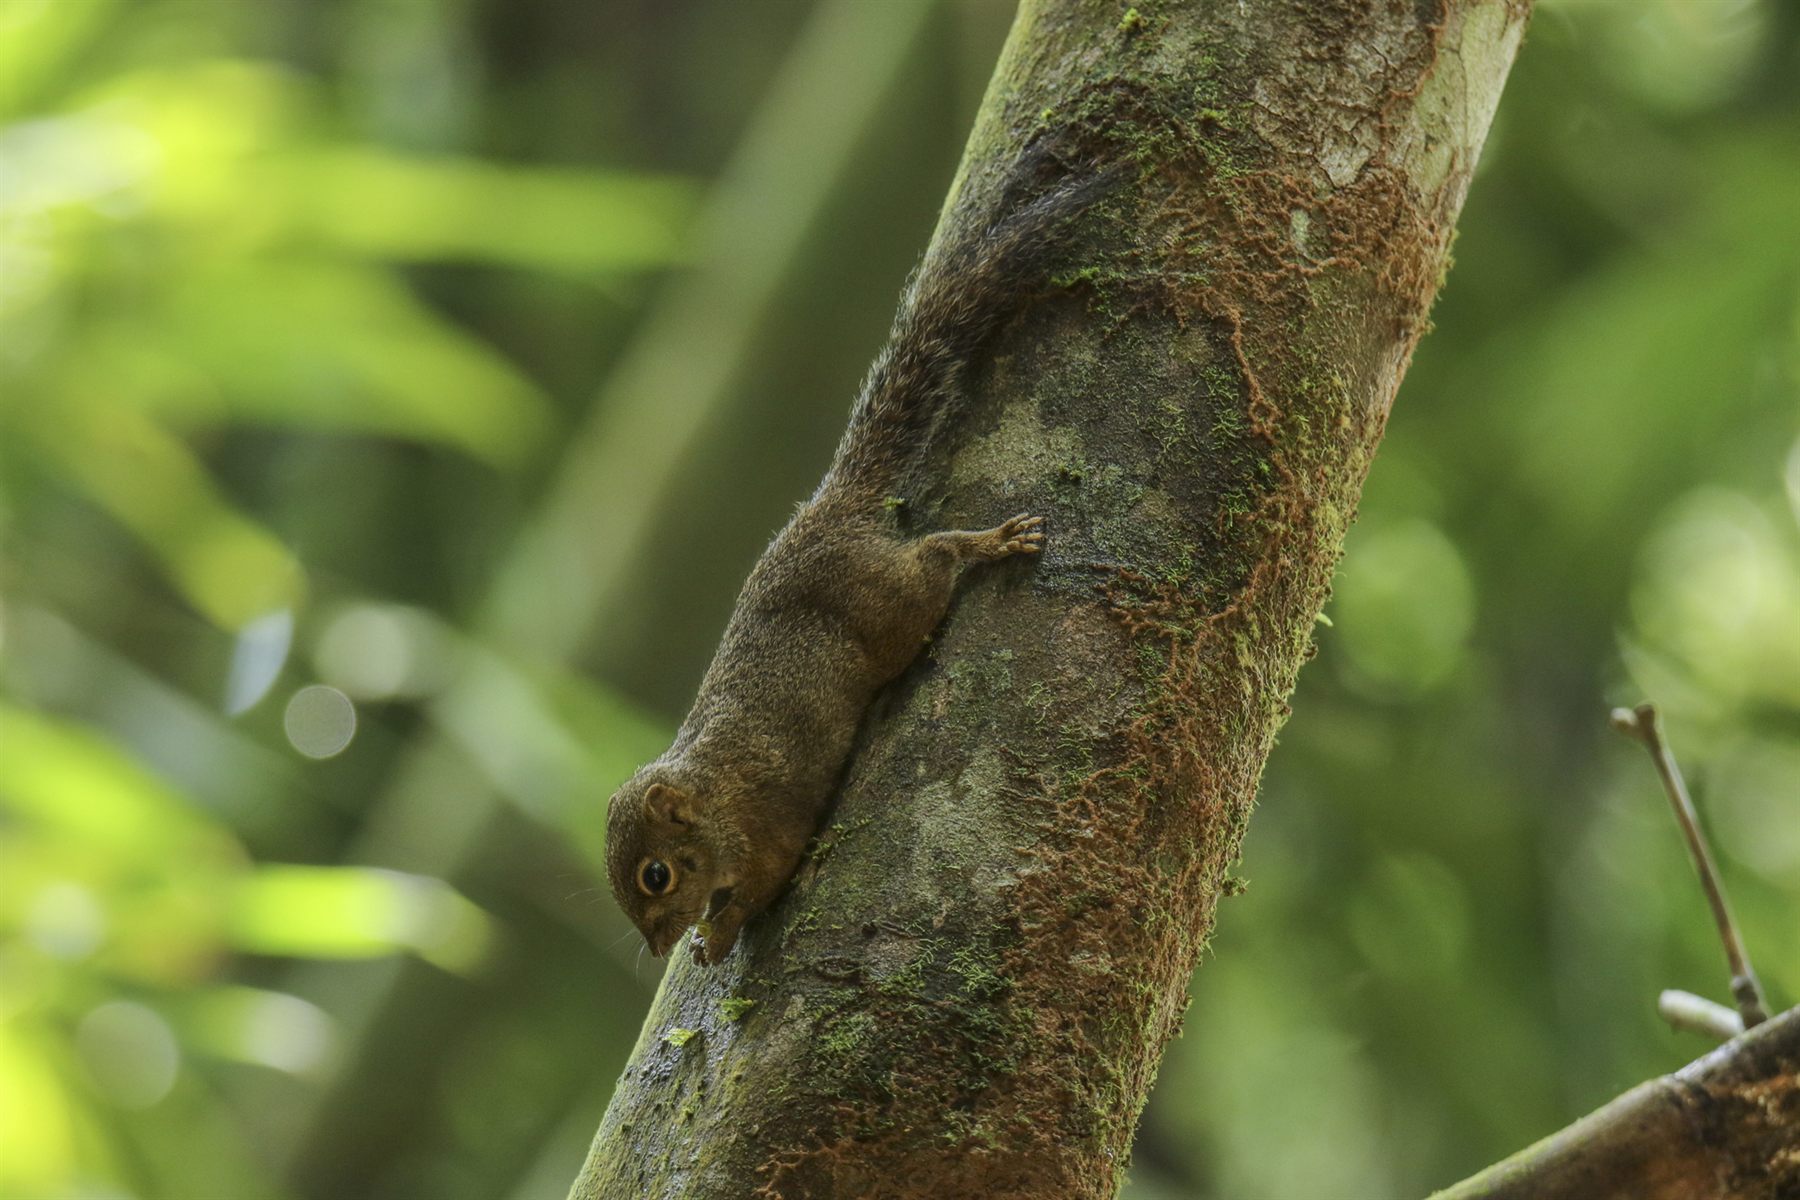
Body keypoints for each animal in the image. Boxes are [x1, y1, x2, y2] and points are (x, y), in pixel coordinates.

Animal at [604, 161, 1108, 966]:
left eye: (655, 875)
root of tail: (831, 511)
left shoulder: (764, 828)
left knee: (933, 558)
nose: (655, 949)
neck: (711, 792)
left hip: (888, 605)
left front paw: (717, 934)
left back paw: (988, 543)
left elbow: (764, 884)